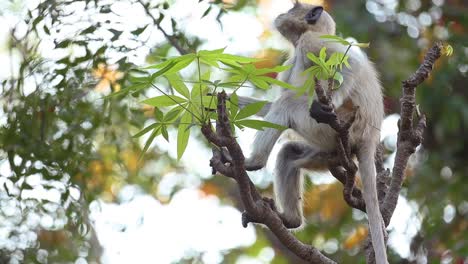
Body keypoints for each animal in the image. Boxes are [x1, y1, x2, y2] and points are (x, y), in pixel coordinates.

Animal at [239, 2, 386, 264]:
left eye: (293, 8)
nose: (281, 13)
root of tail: (370, 137)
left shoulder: (310, 42)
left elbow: (352, 63)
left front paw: (328, 105)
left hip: (337, 127)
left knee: (287, 104)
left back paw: (252, 162)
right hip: (329, 149)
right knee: (289, 153)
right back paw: (290, 220)